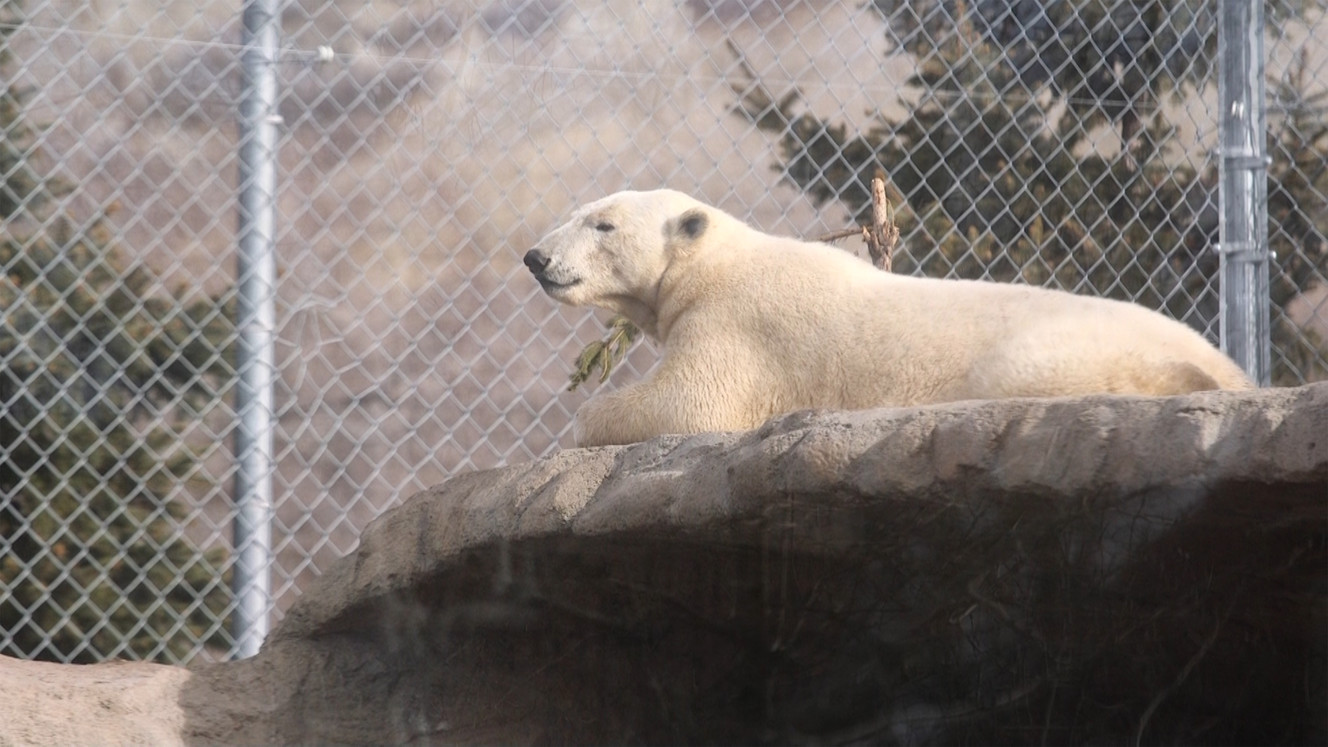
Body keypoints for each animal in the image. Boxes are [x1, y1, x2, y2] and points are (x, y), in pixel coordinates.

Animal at [523, 189, 1255, 447]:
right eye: (576, 212)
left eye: (602, 223)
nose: (536, 256)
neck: (714, 264)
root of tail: (1227, 366)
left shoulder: (739, 326)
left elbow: (691, 403)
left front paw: (588, 421)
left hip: (1061, 350)